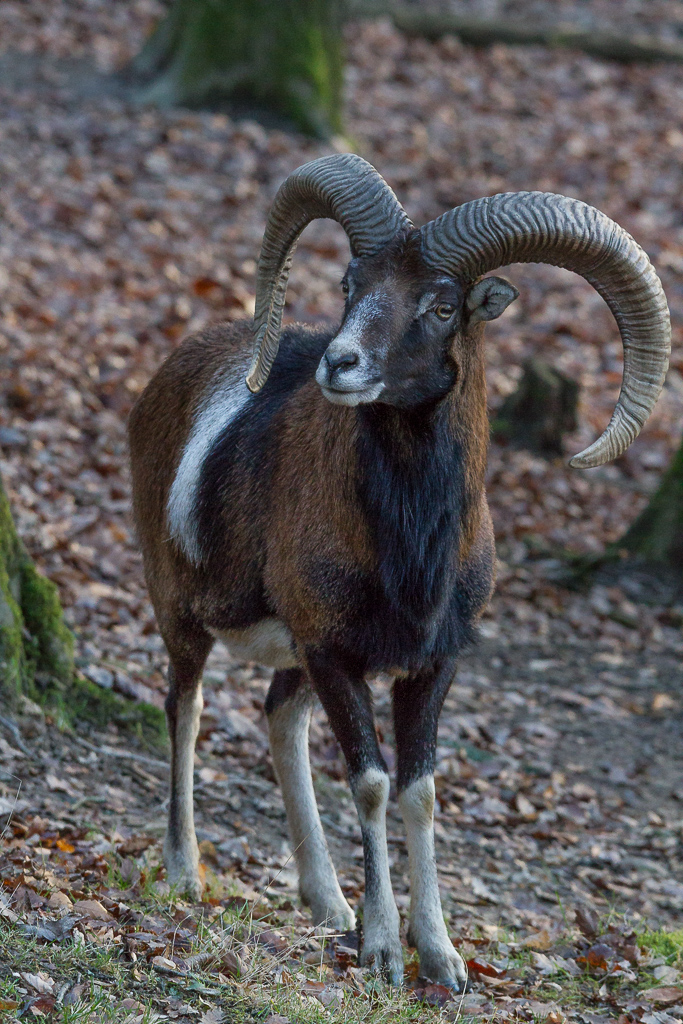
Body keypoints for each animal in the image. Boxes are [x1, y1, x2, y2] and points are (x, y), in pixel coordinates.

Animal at [128, 153, 670, 990]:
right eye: (352, 282)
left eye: (442, 305)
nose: (340, 364)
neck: (409, 550)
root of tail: (161, 386)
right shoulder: (334, 653)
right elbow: (373, 783)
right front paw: (383, 951)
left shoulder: (428, 664)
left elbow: (419, 792)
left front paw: (440, 957)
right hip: (184, 616)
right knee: (184, 709)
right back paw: (188, 875)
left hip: (291, 656)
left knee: (278, 716)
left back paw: (325, 904)